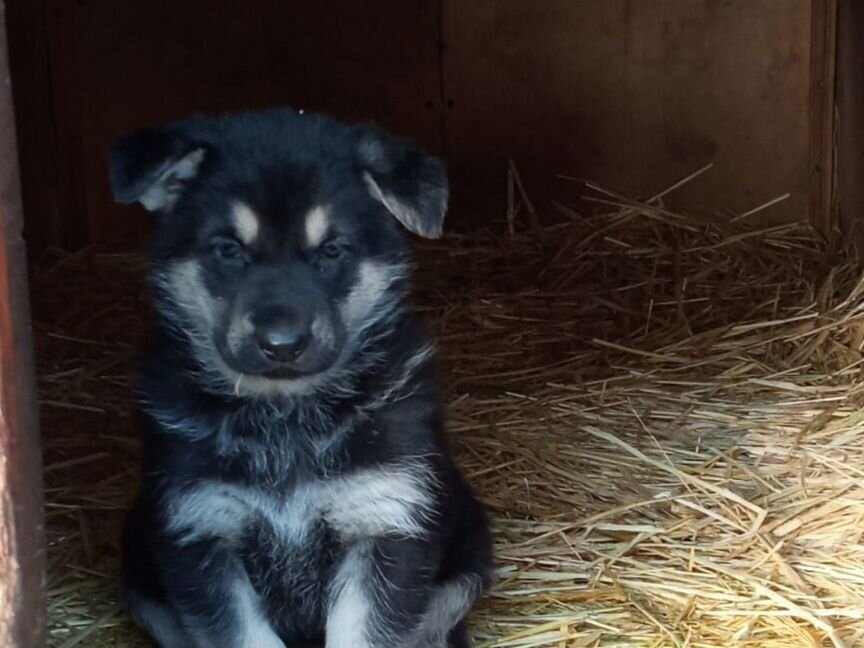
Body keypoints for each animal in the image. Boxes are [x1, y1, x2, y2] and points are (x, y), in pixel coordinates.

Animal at [109, 110, 492, 648]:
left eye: (332, 250)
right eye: (228, 249)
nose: (282, 344)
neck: (285, 415)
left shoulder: (387, 520)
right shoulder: (201, 527)